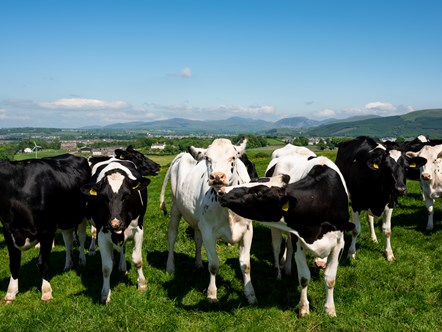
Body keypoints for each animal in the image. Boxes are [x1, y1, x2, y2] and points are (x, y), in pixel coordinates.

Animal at [0, 154, 90, 302]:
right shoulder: (8, 231)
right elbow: (13, 263)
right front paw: (10, 293)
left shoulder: (47, 230)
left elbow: (43, 262)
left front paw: (46, 291)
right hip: (65, 218)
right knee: (68, 240)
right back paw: (68, 264)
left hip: (82, 214)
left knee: (81, 238)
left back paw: (82, 261)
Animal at [82, 158, 151, 304]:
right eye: (103, 196)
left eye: (126, 195)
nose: (115, 224)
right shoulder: (103, 234)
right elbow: (106, 268)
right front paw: (105, 294)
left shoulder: (138, 230)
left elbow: (137, 260)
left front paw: (142, 284)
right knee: (94, 234)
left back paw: (122, 267)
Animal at [160, 139, 258, 304]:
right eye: (208, 158)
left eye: (233, 157)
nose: (217, 176)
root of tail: (183, 154)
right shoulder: (209, 231)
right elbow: (213, 265)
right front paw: (212, 294)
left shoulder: (247, 230)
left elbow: (246, 265)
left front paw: (250, 294)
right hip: (175, 207)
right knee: (172, 235)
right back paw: (170, 266)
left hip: (197, 219)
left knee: (197, 239)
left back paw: (198, 263)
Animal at [218, 156, 352, 316]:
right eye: (252, 181)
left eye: (257, 193)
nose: (221, 191)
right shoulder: (297, 238)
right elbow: (304, 277)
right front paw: (303, 308)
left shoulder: (339, 243)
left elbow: (330, 279)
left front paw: (330, 310)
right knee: (277, 247)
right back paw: (280, 272)